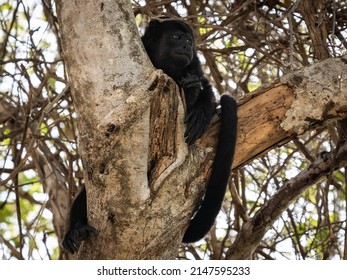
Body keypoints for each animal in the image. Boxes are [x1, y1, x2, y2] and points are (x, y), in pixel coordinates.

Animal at [61, 18, 237, 254]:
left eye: (190, 41)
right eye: (177, 37)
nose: (187, 45)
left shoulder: (195, 66)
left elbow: (204, 86)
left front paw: (197, 103)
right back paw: (76, 230)